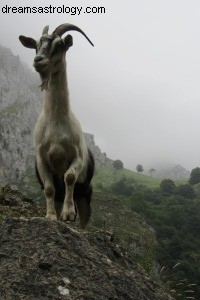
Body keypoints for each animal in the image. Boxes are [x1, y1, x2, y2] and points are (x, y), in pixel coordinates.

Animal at [18, 23, 94, 229]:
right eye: (36, 45)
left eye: (60, 45)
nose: (38, 60)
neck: (56, 121)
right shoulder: (42, 159)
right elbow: (49, 189)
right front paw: (51, 216)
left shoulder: (77, 157)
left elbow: (69, 177)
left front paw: (68, 214)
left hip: (85, 193)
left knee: (84, 219)